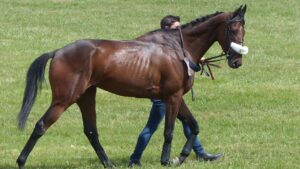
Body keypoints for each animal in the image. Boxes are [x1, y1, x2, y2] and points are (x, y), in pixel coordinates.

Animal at [16, 4, 247, 168]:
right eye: (232, 28)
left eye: (244, 29)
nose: (237, 61)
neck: (177, 48)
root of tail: (58, 52)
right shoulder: (173, 97)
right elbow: (169, 131)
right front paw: (167, 160)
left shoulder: (175, 97)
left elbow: (194, 125)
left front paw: (181, 157)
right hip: (64, 99)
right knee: (41, 125)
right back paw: (21, 161)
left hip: (86, 96)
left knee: (91, 131)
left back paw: (108, 163)